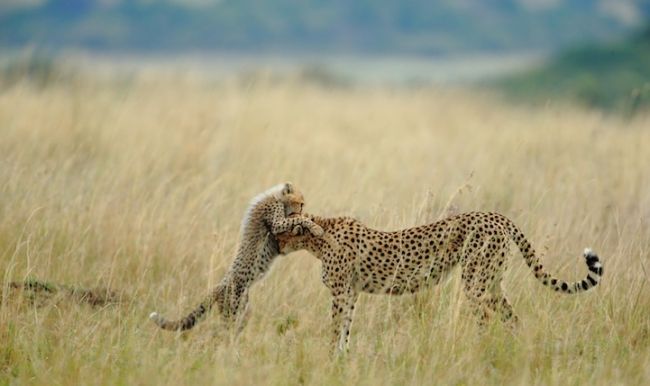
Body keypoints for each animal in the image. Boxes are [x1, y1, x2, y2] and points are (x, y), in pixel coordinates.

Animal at [276, 211, 600, 352]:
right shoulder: (352, 293)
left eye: (278, 232)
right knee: (512, 318)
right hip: (492, 282)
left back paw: (479, 352)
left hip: (474, 281)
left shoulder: (342, 292)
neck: (318, 234)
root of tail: (497, 216)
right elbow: (344, 329)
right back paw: (511, 351)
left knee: (485, 317)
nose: (275, 246)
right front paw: (341, 358)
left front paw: (331, 359)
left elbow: (336, 329)